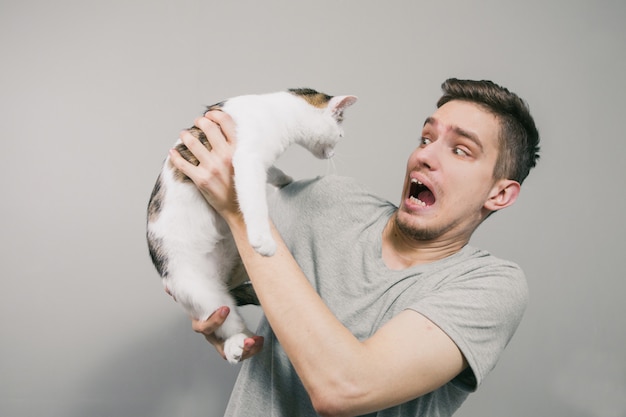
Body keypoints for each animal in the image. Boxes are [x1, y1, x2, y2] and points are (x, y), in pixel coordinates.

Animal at [146, 88, 356, 364]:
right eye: (340, 134)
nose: (333, 153)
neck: (276, 110)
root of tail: (223, 280)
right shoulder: (247, 159)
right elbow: (254, 200)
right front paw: (262, 240)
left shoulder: (258, 161)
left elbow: (271, 171)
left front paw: (283, 179)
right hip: (195, 286)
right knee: (226, 319)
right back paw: (238, 343)